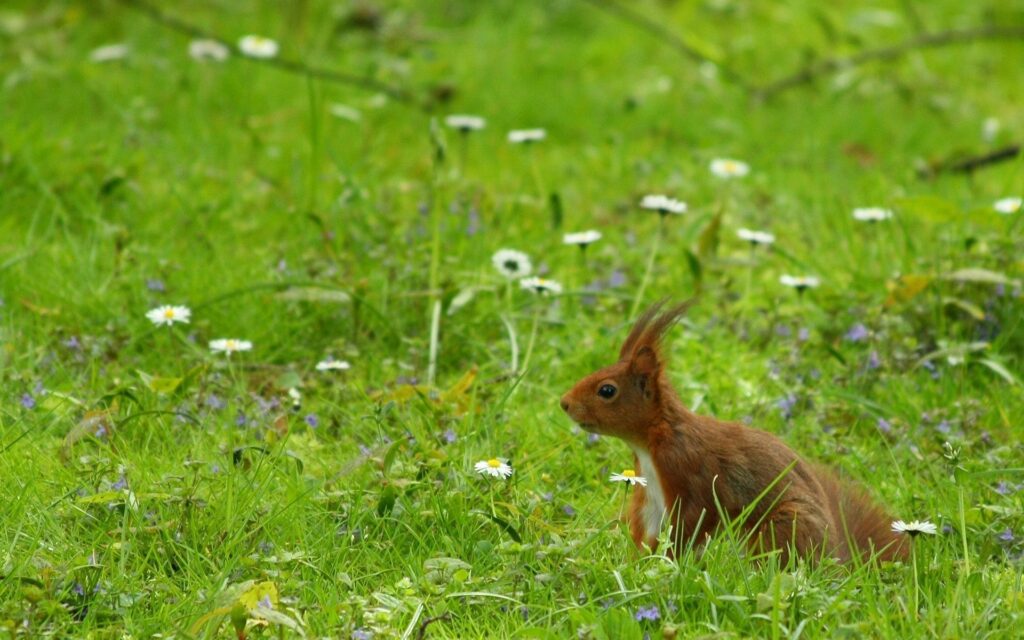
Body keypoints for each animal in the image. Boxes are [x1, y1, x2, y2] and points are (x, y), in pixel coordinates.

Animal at [559, 301, 907, 564]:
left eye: (607, 390)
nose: (564, 403)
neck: (654, 440)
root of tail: (837, 559)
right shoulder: (650, 491)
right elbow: (648, 528)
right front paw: (638, 565)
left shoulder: (690, 470)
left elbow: (692, 522)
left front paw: (668, 565)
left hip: (783, 524)